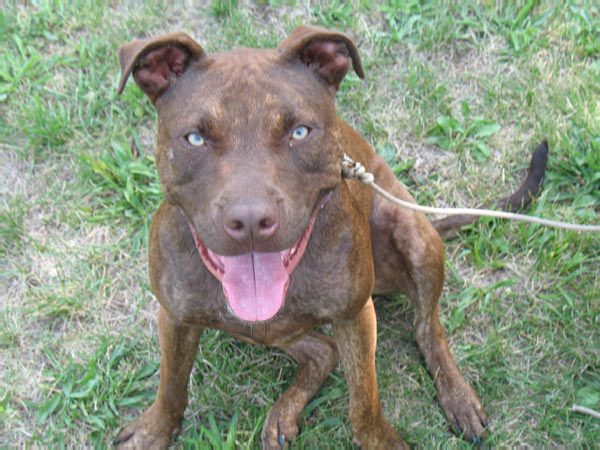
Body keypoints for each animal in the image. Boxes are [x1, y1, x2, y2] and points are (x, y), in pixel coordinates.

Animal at [115, 25, 548, 450]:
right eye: (195, 139)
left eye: (299, 132)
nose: (251, 220)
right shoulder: (174, 317)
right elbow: (171, 385)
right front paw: (153, 431)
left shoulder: (355, 315)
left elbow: (365, 399)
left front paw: (380, 440)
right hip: (254, 327)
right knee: (324, 351)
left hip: (414, 237)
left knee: (427, 329)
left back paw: (457, 397)